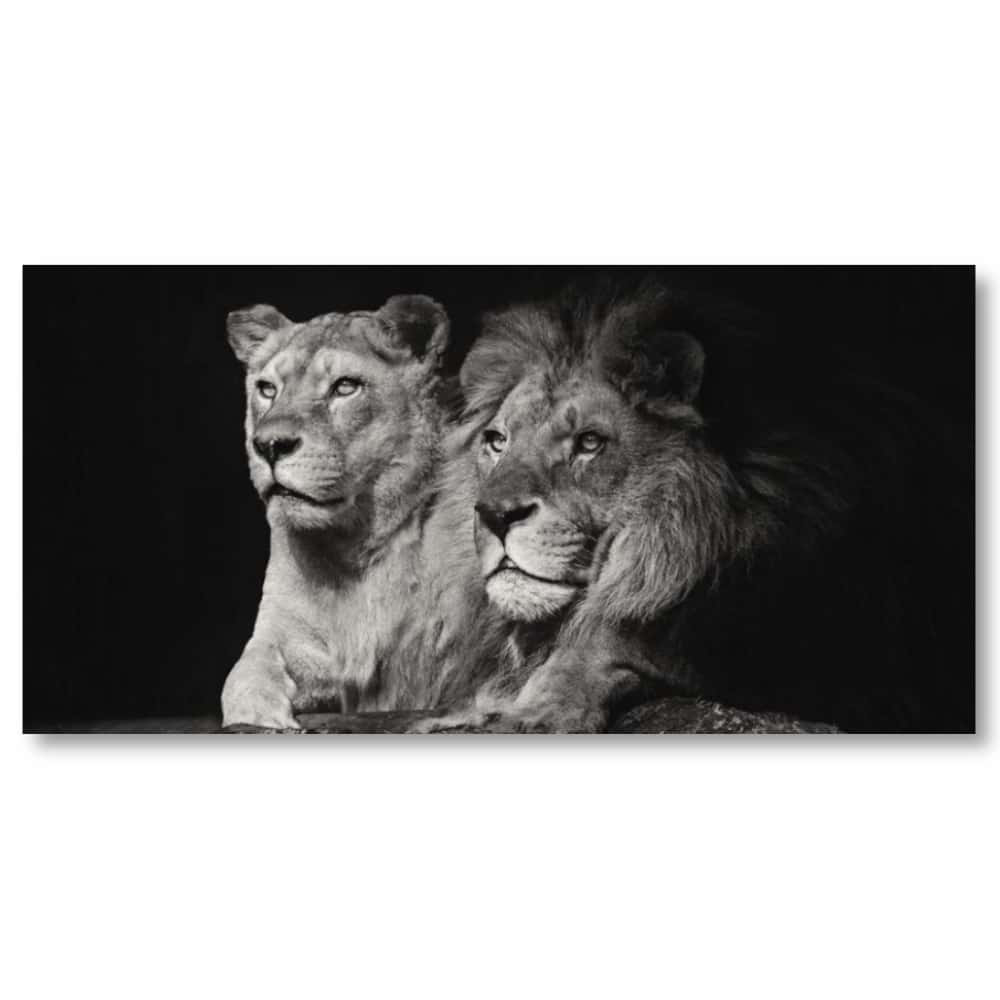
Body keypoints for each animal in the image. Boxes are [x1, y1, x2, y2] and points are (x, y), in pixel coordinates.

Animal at [220, 294, 494, 729]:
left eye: (345, 387)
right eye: (267, 389)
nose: (269, 445)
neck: (355, 546)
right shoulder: (285, 633)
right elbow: (244, 675)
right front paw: (261, 715)